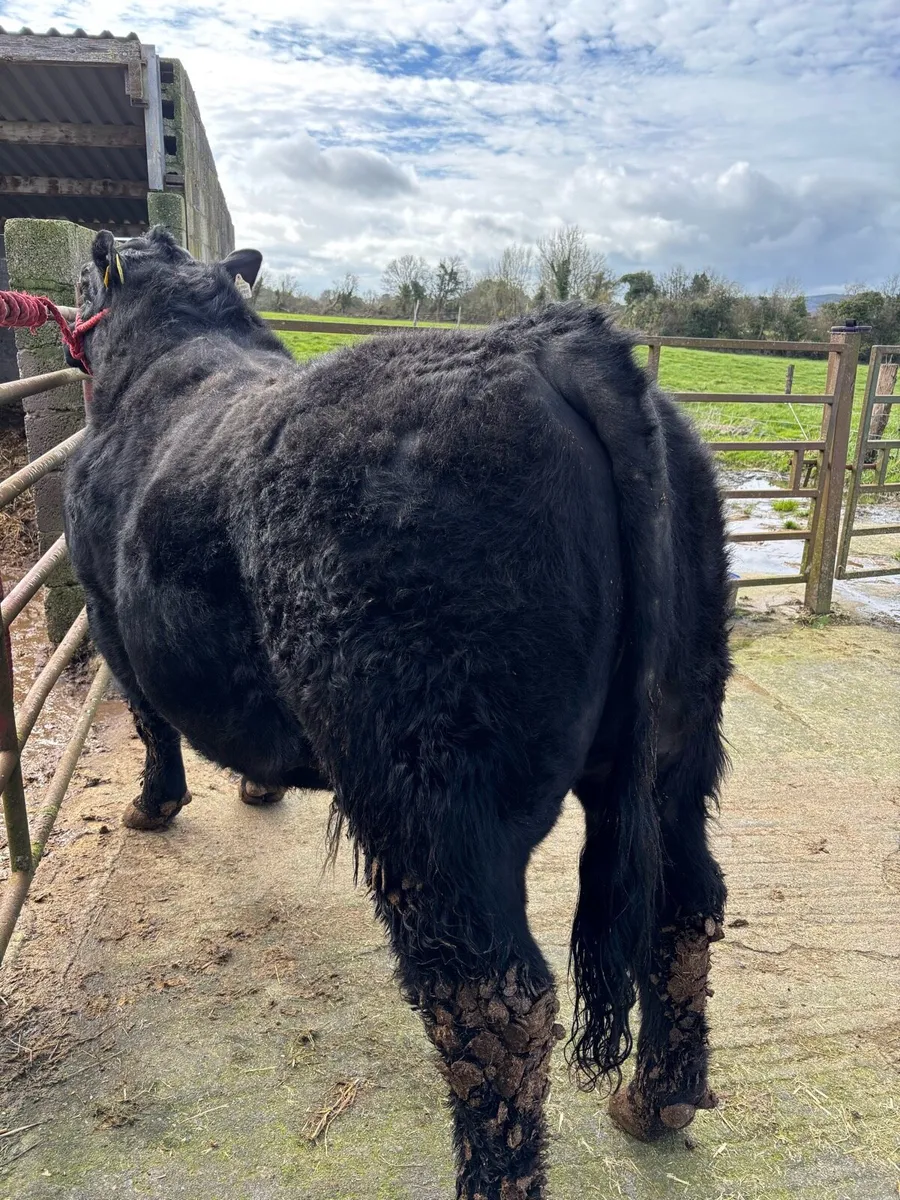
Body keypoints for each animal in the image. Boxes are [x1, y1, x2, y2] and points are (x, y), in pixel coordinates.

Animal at [63, 227, 731, 1200]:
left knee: (494, 1000)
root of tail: (550, 340)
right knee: (686, 904)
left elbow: (152, 724)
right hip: (682, 737)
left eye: (82, 283)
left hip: (432, 794)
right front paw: (259, 788)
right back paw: (658, 1101)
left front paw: (152, 807)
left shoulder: (107, 613)